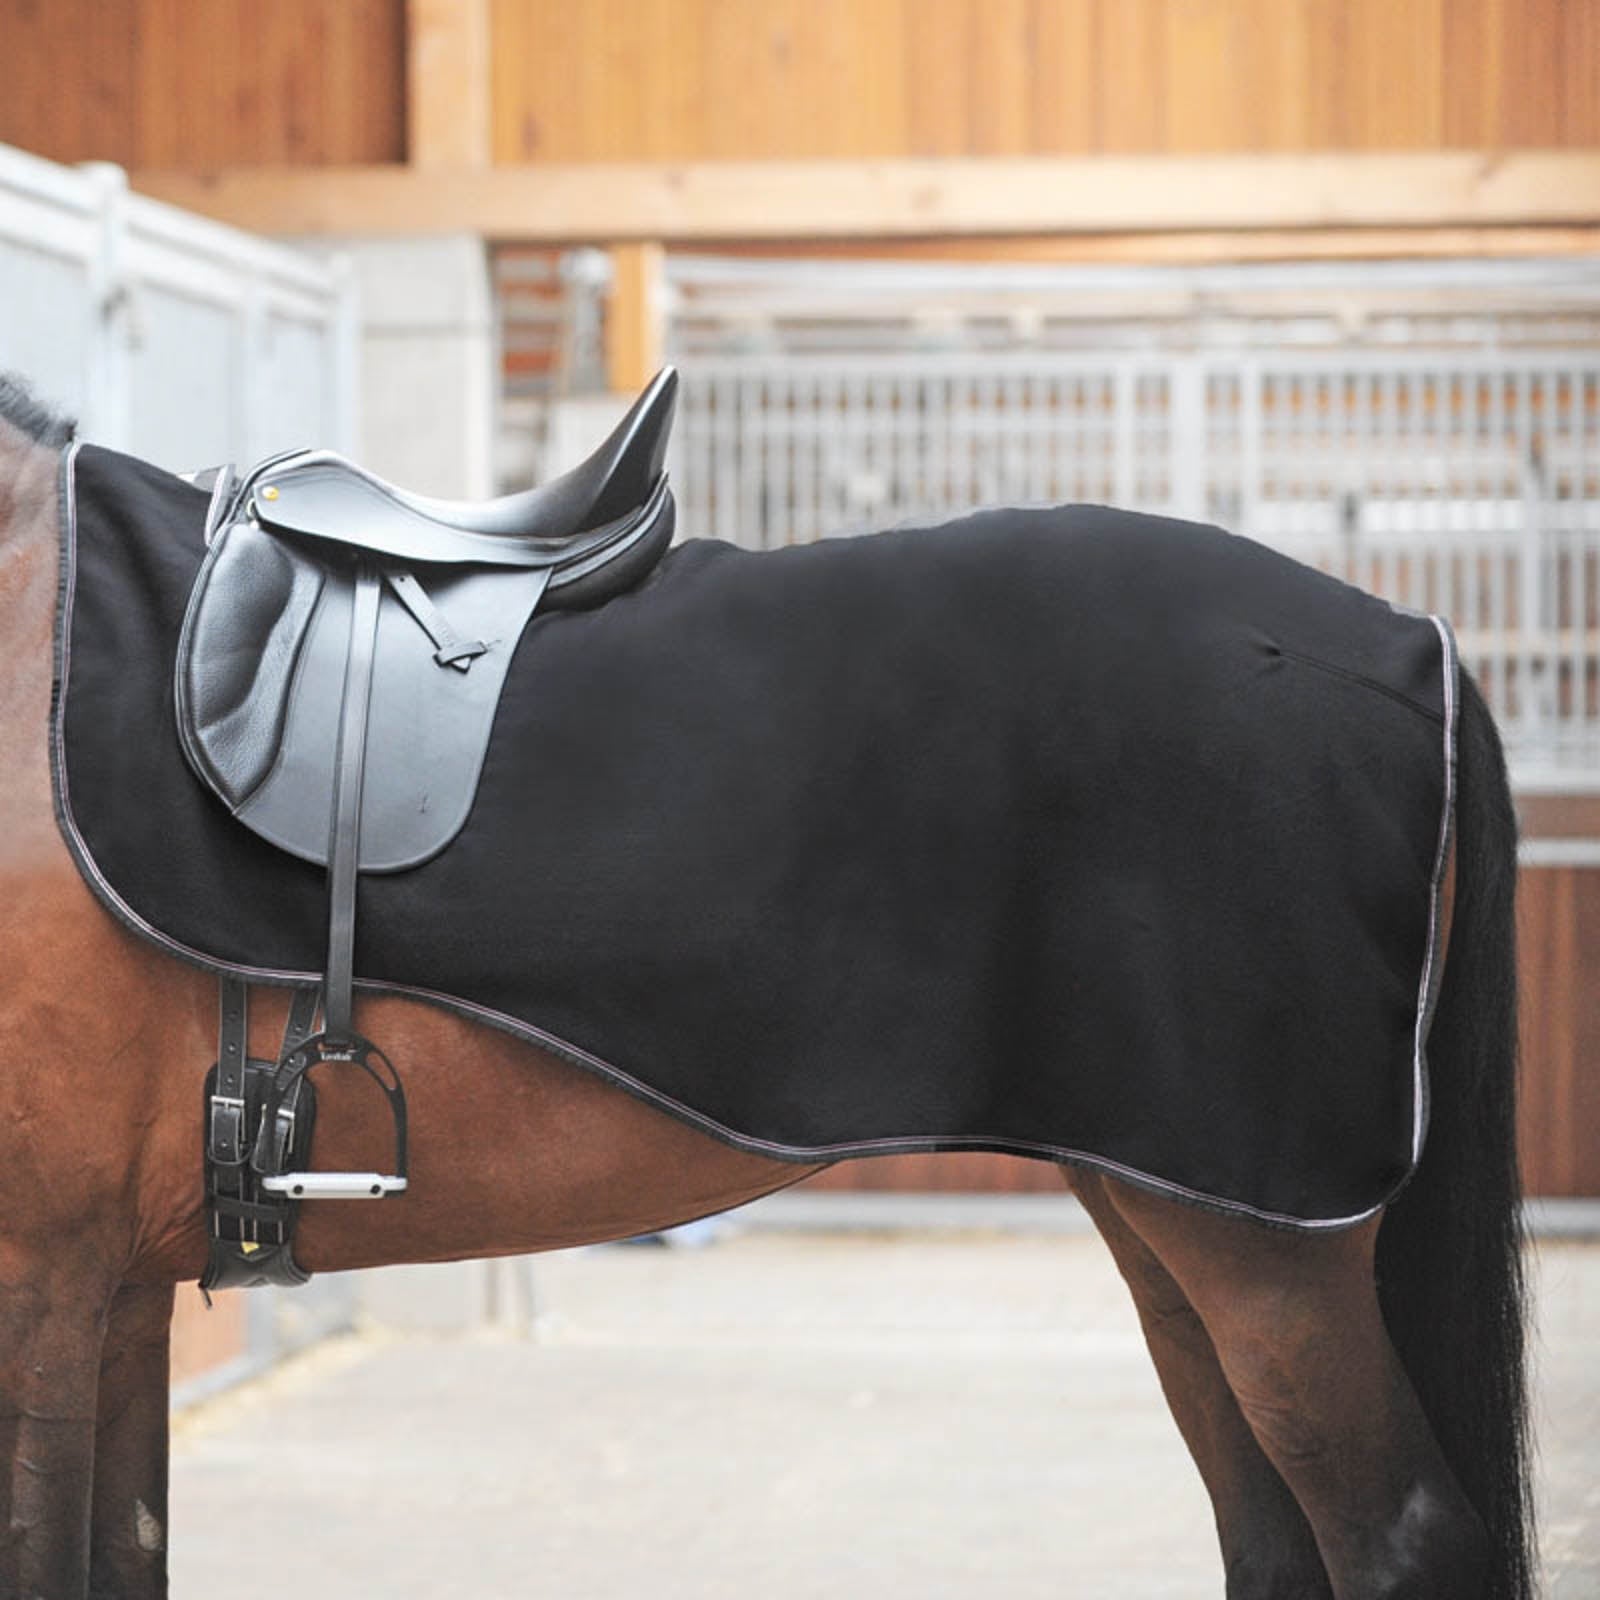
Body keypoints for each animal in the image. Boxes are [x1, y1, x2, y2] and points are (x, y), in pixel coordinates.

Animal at [0, 372, 1530, 1600]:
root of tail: (1410, 644)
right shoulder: (113, 1291)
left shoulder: (44, 1278)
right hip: (1173, 1209)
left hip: (1269, 1250)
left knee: (1402, 1542)